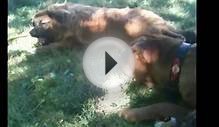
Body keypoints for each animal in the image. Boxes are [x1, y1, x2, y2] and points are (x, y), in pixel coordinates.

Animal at [29, 2, 184, 49]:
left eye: (43, 23)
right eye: (33, 24)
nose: (31, 33)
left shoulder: (68, 42)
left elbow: (49, 48)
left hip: (137, 28)